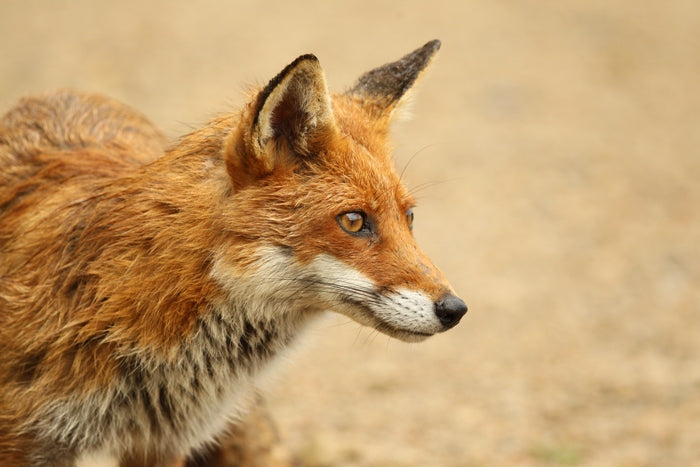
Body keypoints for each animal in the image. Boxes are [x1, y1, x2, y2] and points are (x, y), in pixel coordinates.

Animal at [2, 41, 468, 467]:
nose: (455, 309)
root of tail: (60, 94)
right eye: (354, 221)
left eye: (409, 217)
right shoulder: (23, 441)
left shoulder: (161, 443)